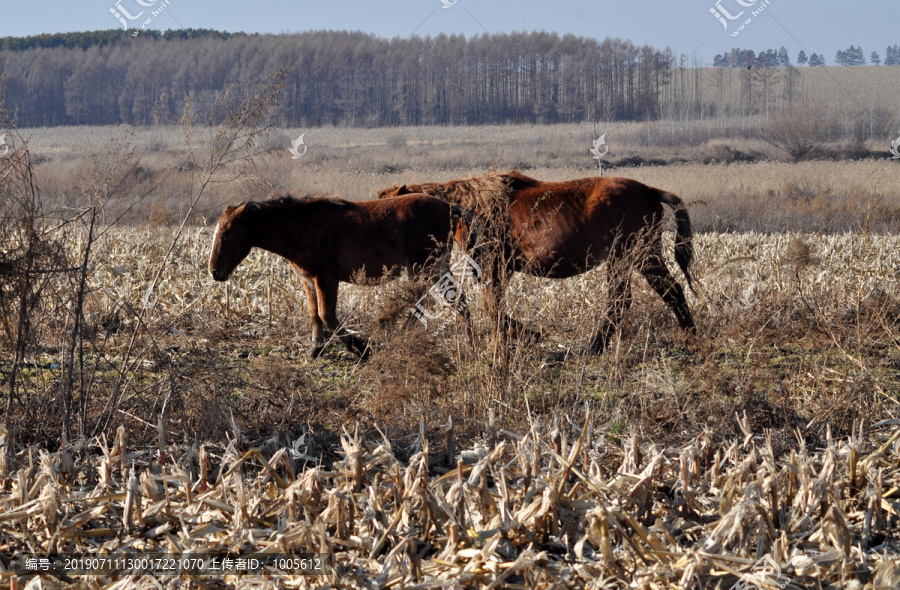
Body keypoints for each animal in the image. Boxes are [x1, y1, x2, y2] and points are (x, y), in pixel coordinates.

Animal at [205, 197, 472, 358]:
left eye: (227, 235)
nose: (214, 272)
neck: (301, 228)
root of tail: (450, 207)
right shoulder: (308, 280)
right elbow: (314, 314)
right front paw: (315, 349)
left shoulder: (326, 279)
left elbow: (327, 315)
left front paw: (362, 349)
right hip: (437, 268)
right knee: (458, 300)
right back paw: (468, 340)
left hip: (423, 268)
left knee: (421, 302)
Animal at [378, 173, 696, 354]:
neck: (467, 207)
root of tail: (649, 190)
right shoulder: (499, 269)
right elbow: (494, 307)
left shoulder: (495, 266)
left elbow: (492, 307)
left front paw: (526, 335)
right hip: (642, 257)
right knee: (669, 291)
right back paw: (688, 334)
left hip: (629, 256)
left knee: (623, 300)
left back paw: (596, 345)